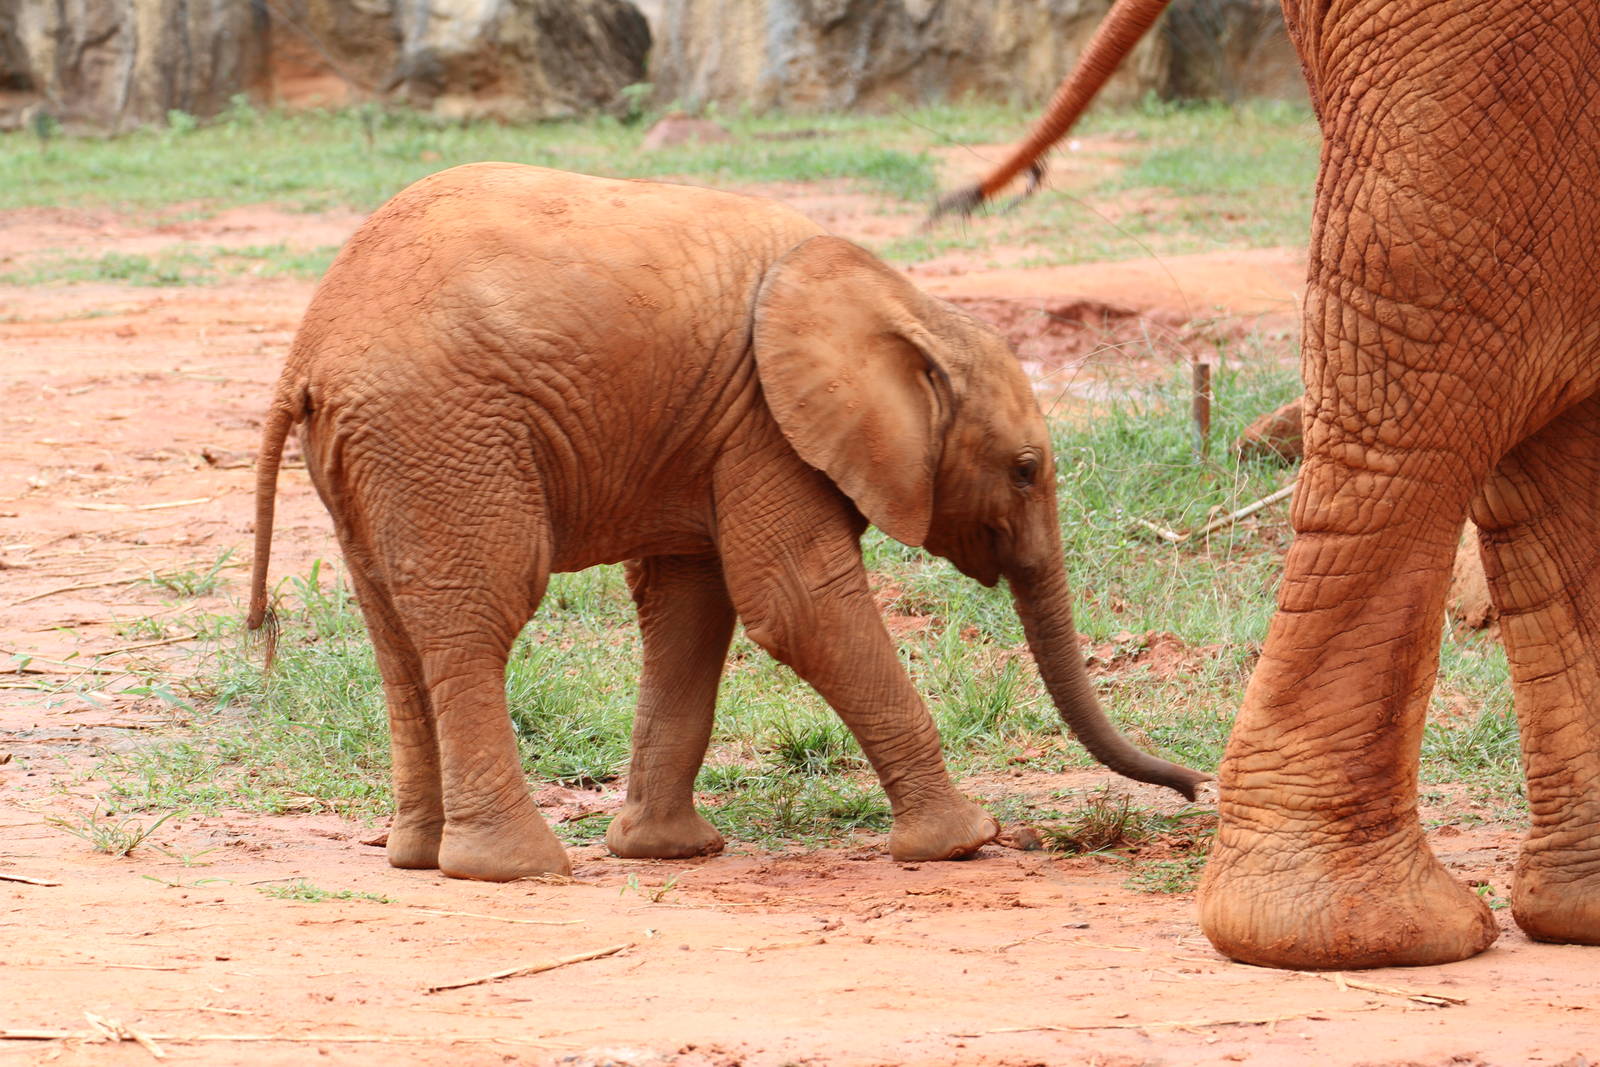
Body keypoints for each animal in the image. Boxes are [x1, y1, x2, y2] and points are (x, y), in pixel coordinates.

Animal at [246, 163, 1208, 883]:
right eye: (1025, 469)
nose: (1195, 786)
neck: (908, 305)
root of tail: (308, 351)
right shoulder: (764, 422)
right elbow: (796, 603)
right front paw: (968, 841)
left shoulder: (715, 424)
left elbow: (692, 607)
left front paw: (670, 852)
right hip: (445, 432)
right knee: (478, 612)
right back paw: (517, 867)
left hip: (380, 451)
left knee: (396, 629)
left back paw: (418, 858)